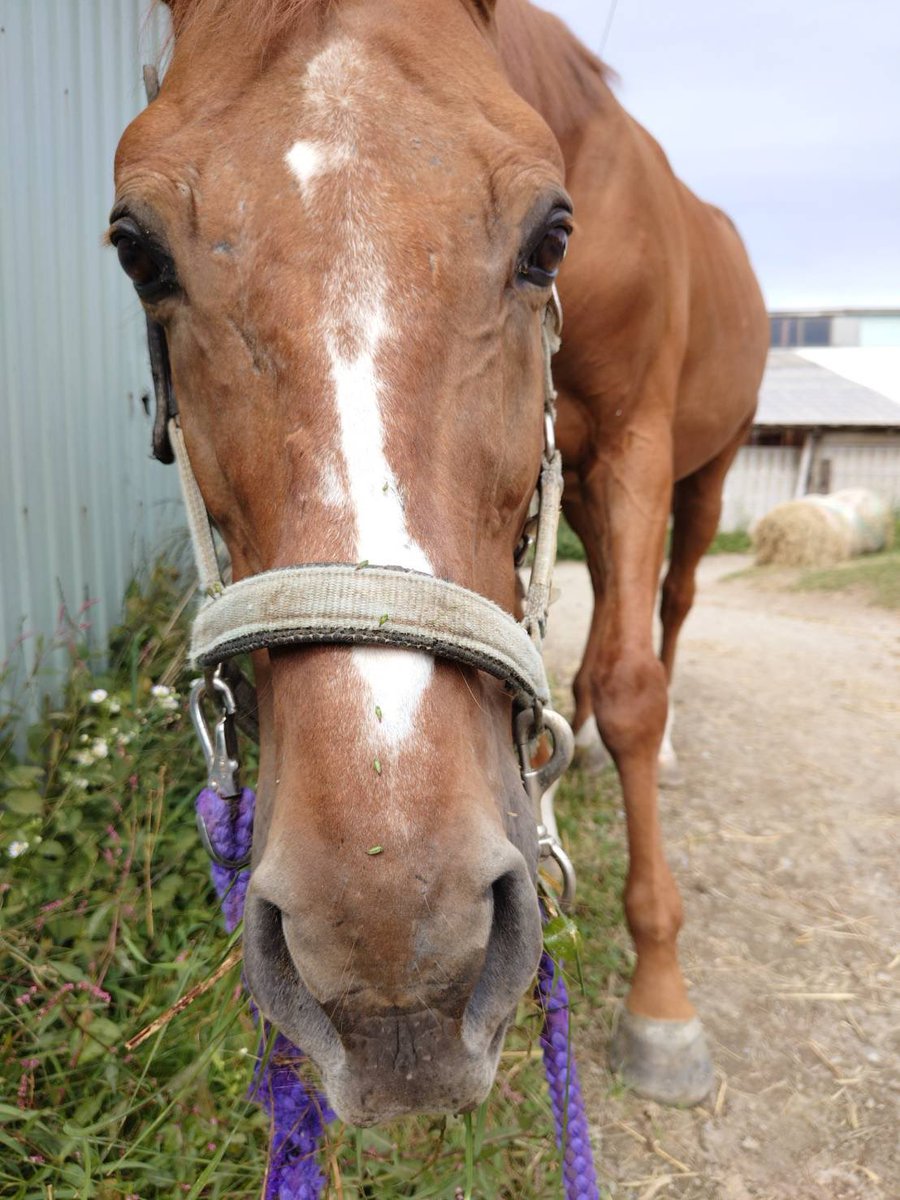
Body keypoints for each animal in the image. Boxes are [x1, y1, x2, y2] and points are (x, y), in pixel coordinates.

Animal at [111, 0, 767, 1125]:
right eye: (136, 251)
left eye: (552, 236)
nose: (389, 945)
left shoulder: (636, 446)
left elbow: (632, 687)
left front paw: (662, 1002)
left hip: (706, 471)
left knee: (670, 610)